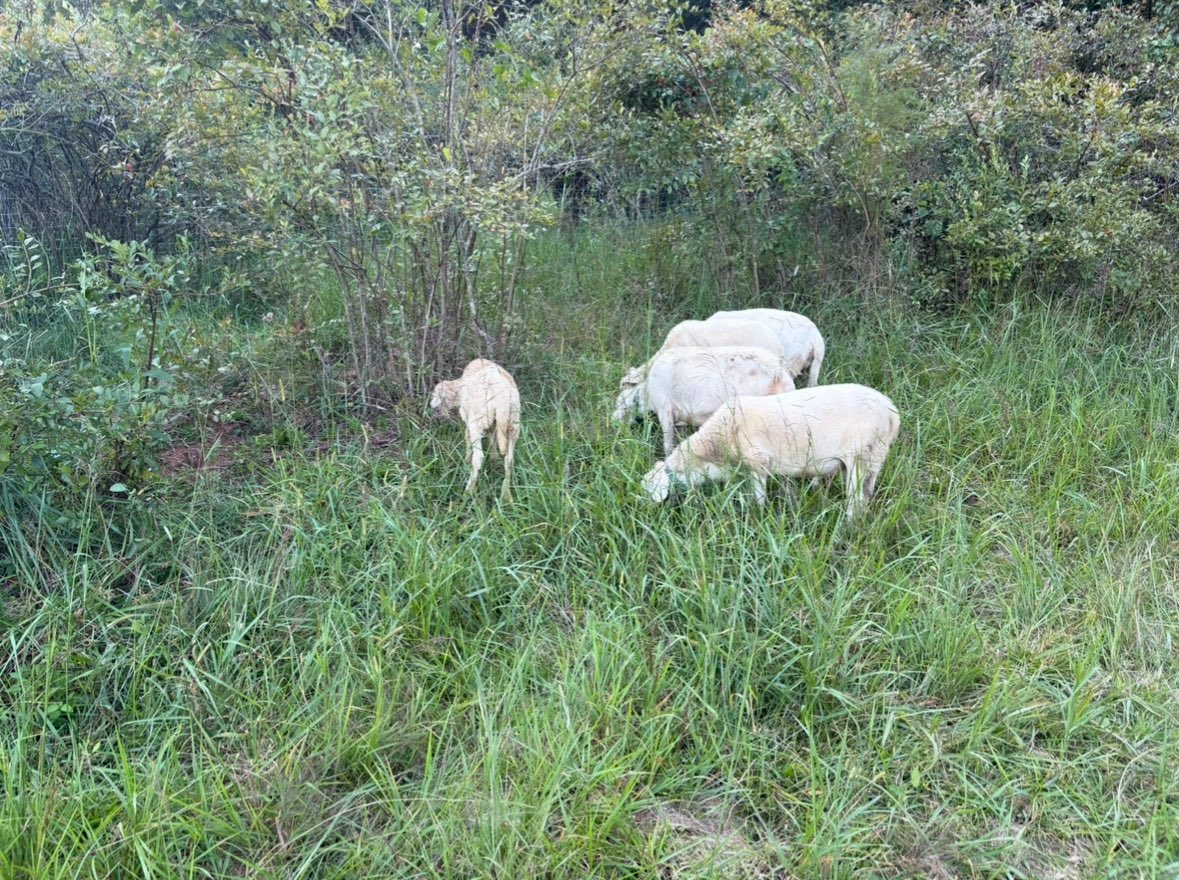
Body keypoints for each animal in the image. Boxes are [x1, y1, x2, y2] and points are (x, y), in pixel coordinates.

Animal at [429, 358, 521, 500]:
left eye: (435, 394)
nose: (431, 405)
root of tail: (501, 393)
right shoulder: (493, 423)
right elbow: (492, 437)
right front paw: (494, 459)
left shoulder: (467, 416)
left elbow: (467, 436)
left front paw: (467, 458)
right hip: (513, 422)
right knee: (509, 460)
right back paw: (506, 495)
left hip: (477, 421)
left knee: (478, 458)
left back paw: (467, 492)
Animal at [613, 346, 797, 455]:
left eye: (619, 402)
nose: (612, 421)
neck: (646, 394)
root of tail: (782, 371)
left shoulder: (665, 409)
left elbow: (667, 442)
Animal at [641, 383, 900, 519]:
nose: (647, 514)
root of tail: (891, 412)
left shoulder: (758, 463)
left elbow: (758, 499)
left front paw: (757, 518)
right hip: (874, 457)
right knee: (867, 494)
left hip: (861, 454)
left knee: (855, 499)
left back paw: (846, 527)